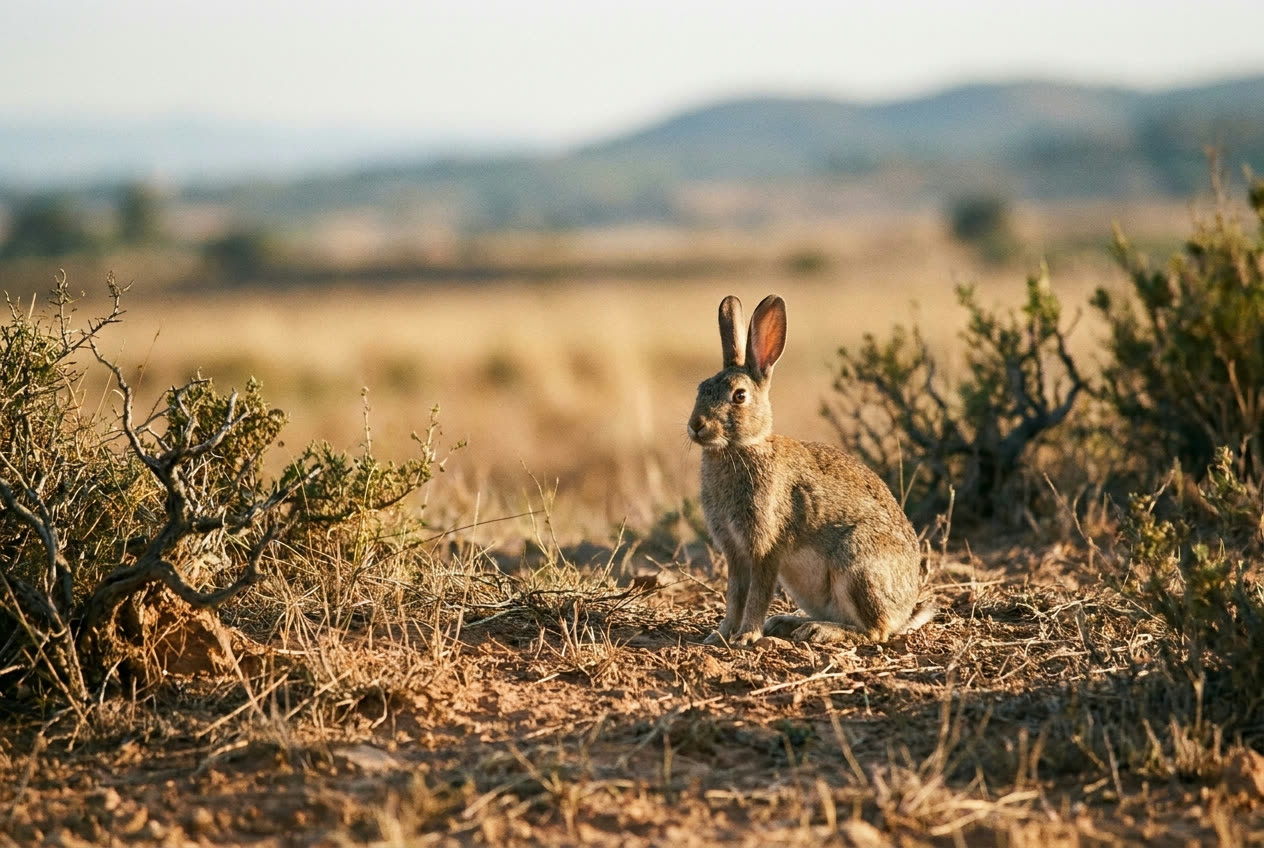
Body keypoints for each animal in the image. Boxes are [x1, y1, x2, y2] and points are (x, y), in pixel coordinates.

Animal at [687, 294, 935, 647]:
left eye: (739, 396)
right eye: (701, 388)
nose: (696, 426)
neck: (742, 447)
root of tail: (905, 611)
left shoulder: (765, 547)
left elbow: (757, 595)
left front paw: (746, 636)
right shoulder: (734, 551)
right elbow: (734, 596)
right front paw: (719, 634)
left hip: (856, 565)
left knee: (875, 631)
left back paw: (818, 630)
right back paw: (788, 623)